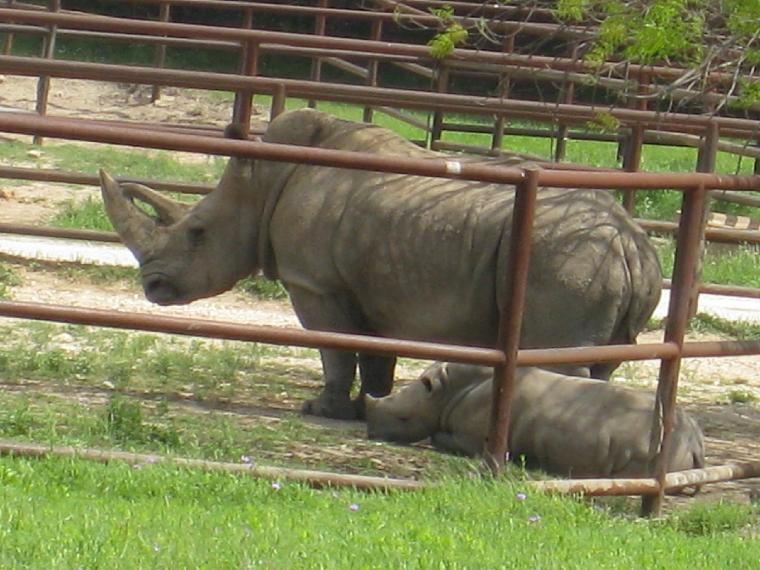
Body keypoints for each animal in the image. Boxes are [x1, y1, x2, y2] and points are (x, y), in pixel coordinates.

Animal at [99, 108, 660, 418]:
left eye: (197, 233)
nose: (152, 284)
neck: (261, 182)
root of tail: (632, 244)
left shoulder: (316, 283)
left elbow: (334, 347)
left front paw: (320, 410)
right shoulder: (370, 287)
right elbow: (373, 352)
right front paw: (372, 404)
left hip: (571, 262)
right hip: (599, 262)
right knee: (604, 361)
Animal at [366, 362, 704, 478]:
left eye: (403, 418)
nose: (370, 434)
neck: (445, 390)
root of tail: (695, 442)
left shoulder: (474, 438)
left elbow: (439, 437)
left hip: (648, 442)